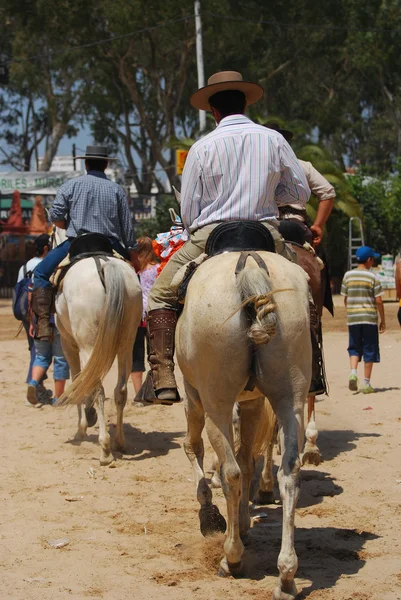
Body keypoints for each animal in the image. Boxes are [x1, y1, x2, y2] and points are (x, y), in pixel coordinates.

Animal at [50, 227, 142, 466]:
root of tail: (103, 263)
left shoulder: (68, 344)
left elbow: (77, 380)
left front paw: (82, 428)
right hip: (127, 343)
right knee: (120, 389)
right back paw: (120, 442)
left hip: (88, 344)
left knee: (98, 388)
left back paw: (105, 449)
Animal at [177, 250, 310, 600]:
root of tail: (248, 263)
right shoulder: (252, 403)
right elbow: (249, 459)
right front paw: (245, 521)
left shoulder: (195, 396)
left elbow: (193, 446)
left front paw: (210, 515)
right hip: (290, 396)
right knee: (289, 473)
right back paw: (286, 575)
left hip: (217, 402)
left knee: (231, 473)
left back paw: (232, 558)